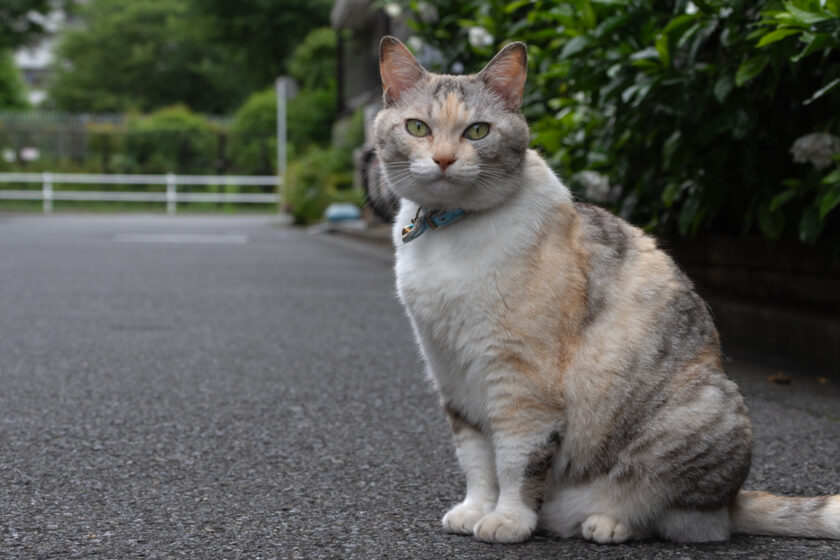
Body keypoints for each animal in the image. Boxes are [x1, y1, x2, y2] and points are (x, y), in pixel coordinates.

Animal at [372, 36, 840, 544]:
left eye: (477, 131)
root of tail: (734, 499)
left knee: (683, 519)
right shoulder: (450, 371)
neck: (449, 235)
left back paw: (609, 522)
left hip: (701, 414)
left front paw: (508, 520)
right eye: (418, 128)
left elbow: (515, 461)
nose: (443, 159)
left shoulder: (522, 382)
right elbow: (476, 457)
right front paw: (475, 509)